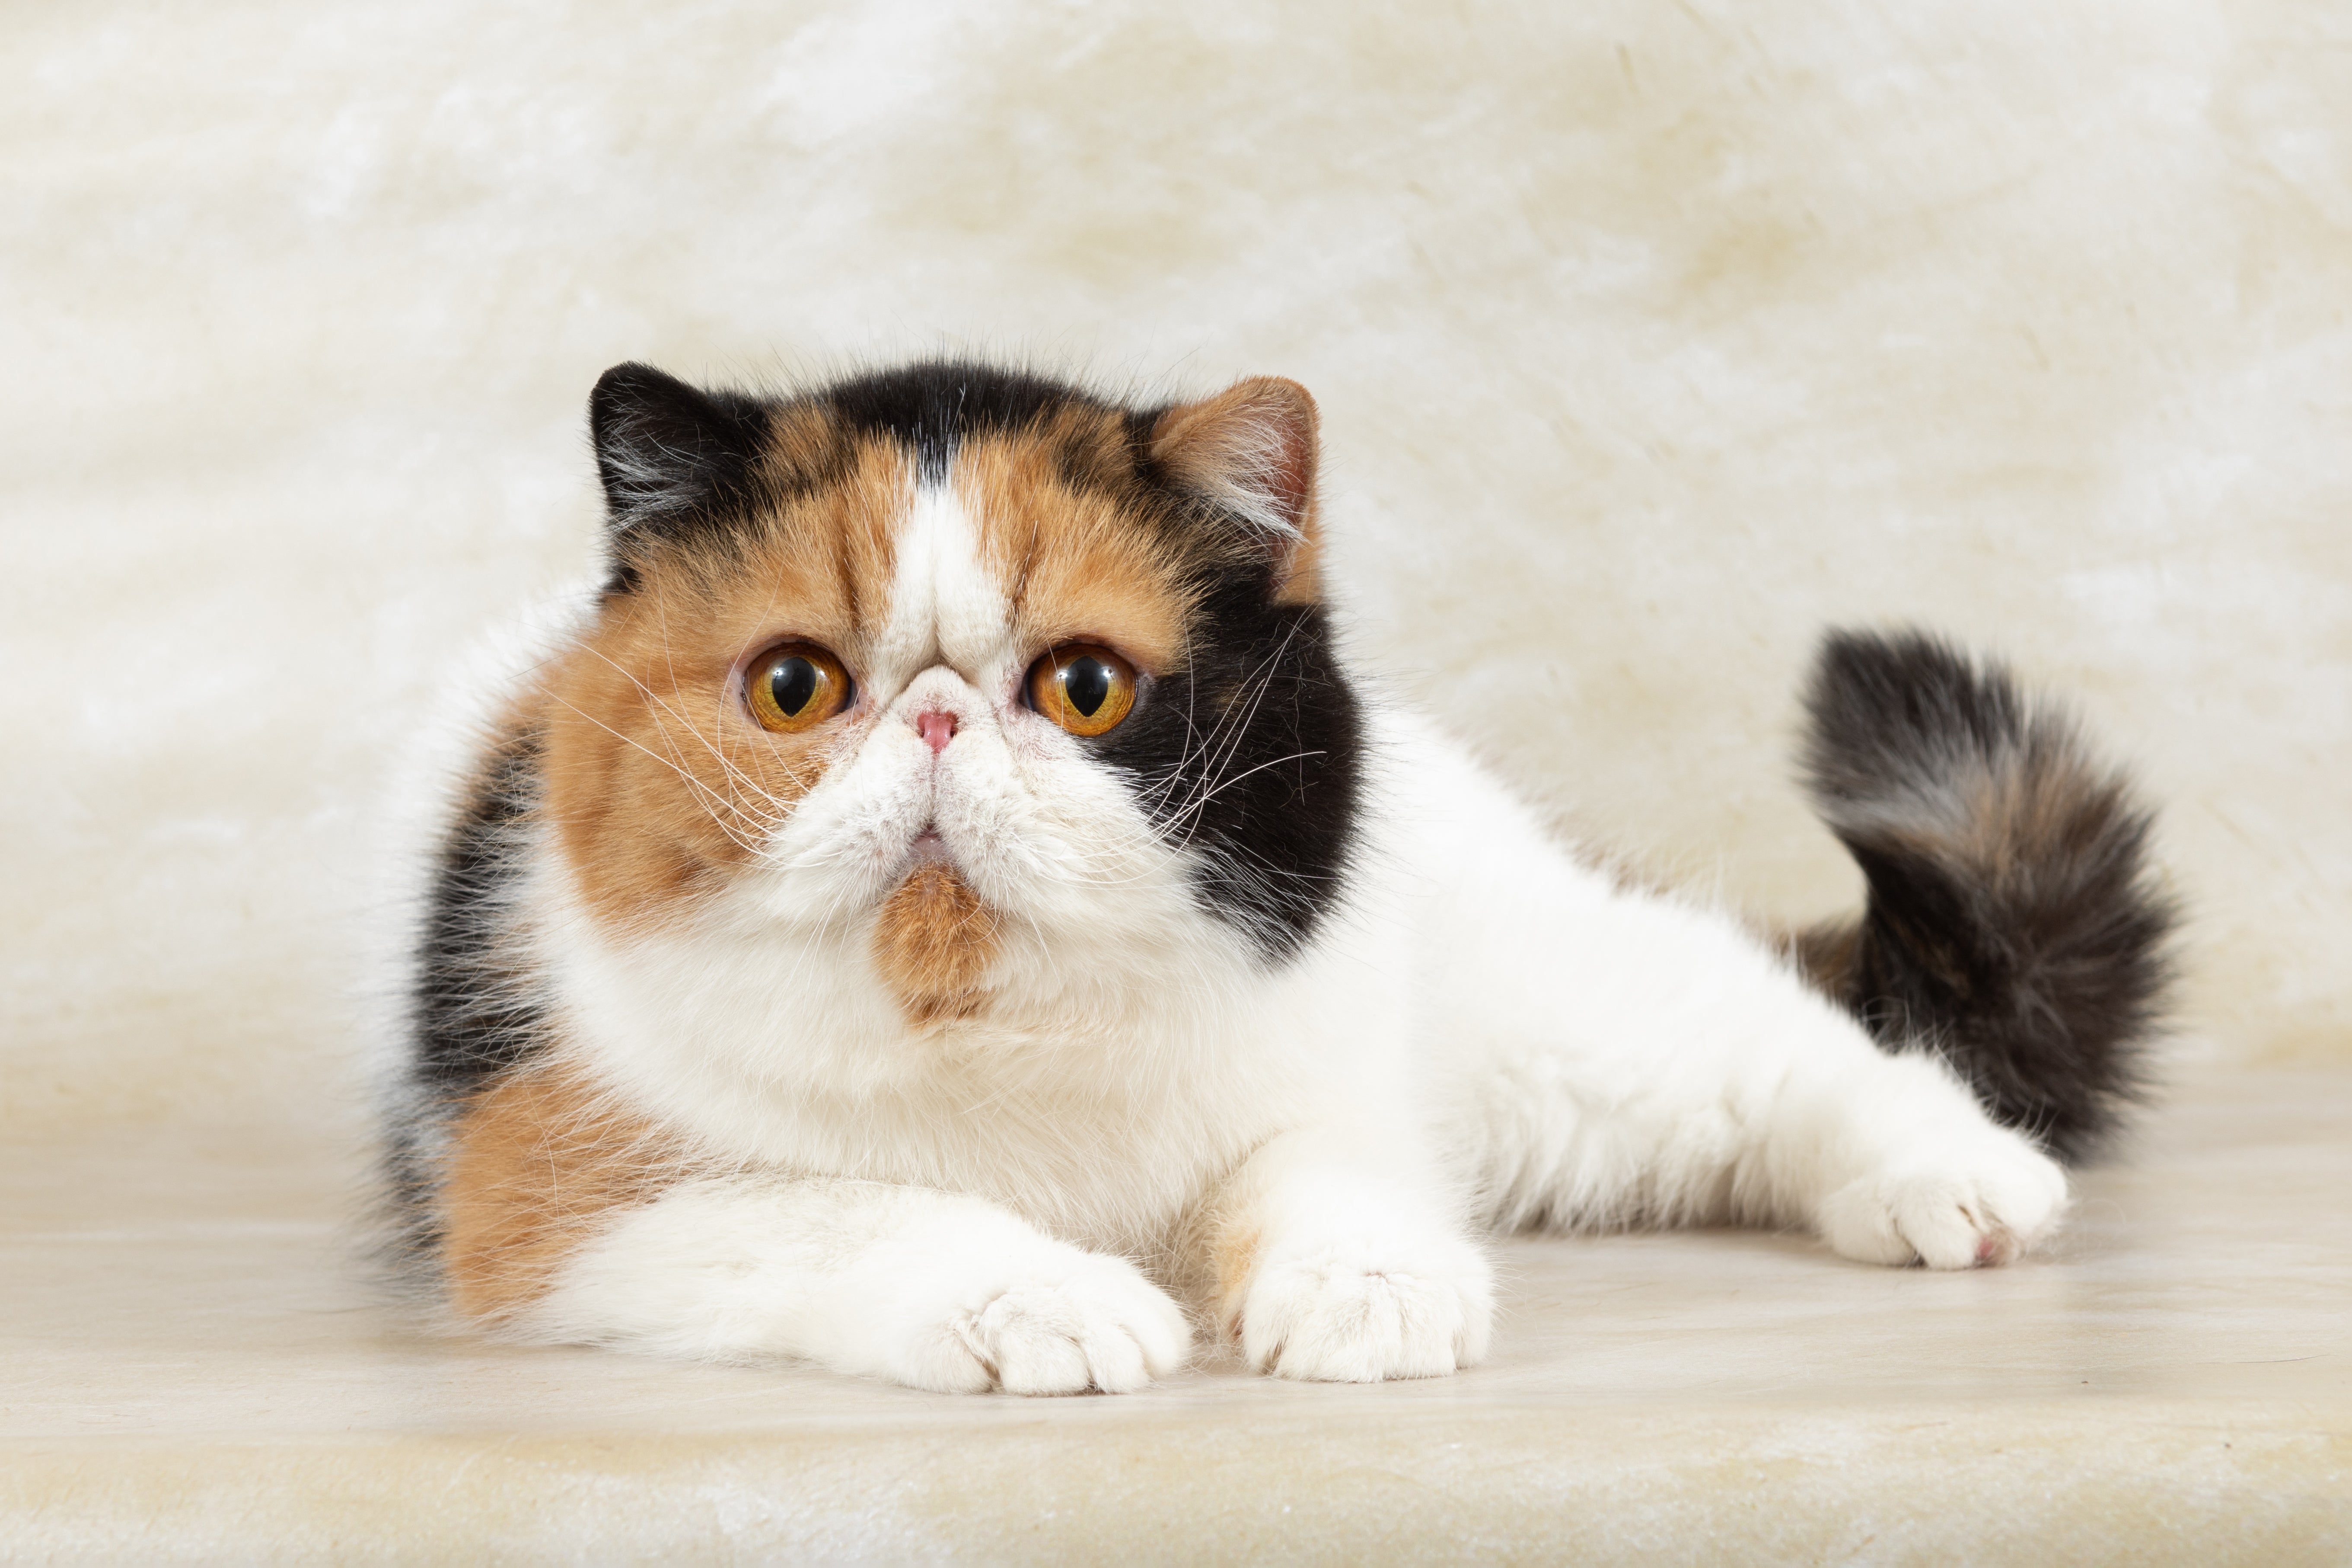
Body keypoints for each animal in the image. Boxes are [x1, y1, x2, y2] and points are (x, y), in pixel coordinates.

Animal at [381, 362, 2164, 1392]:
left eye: (1083, 687)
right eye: (796, 686)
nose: (941, 716)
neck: (997, 1027)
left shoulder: (1329, 1063)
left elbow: (1322, 1167)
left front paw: (1367, 1287)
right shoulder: (544, 1184)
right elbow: (852, 1206)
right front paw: (1047, 1295)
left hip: (1556, 1028)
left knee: (1780, 1042)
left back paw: (1954, 1179)